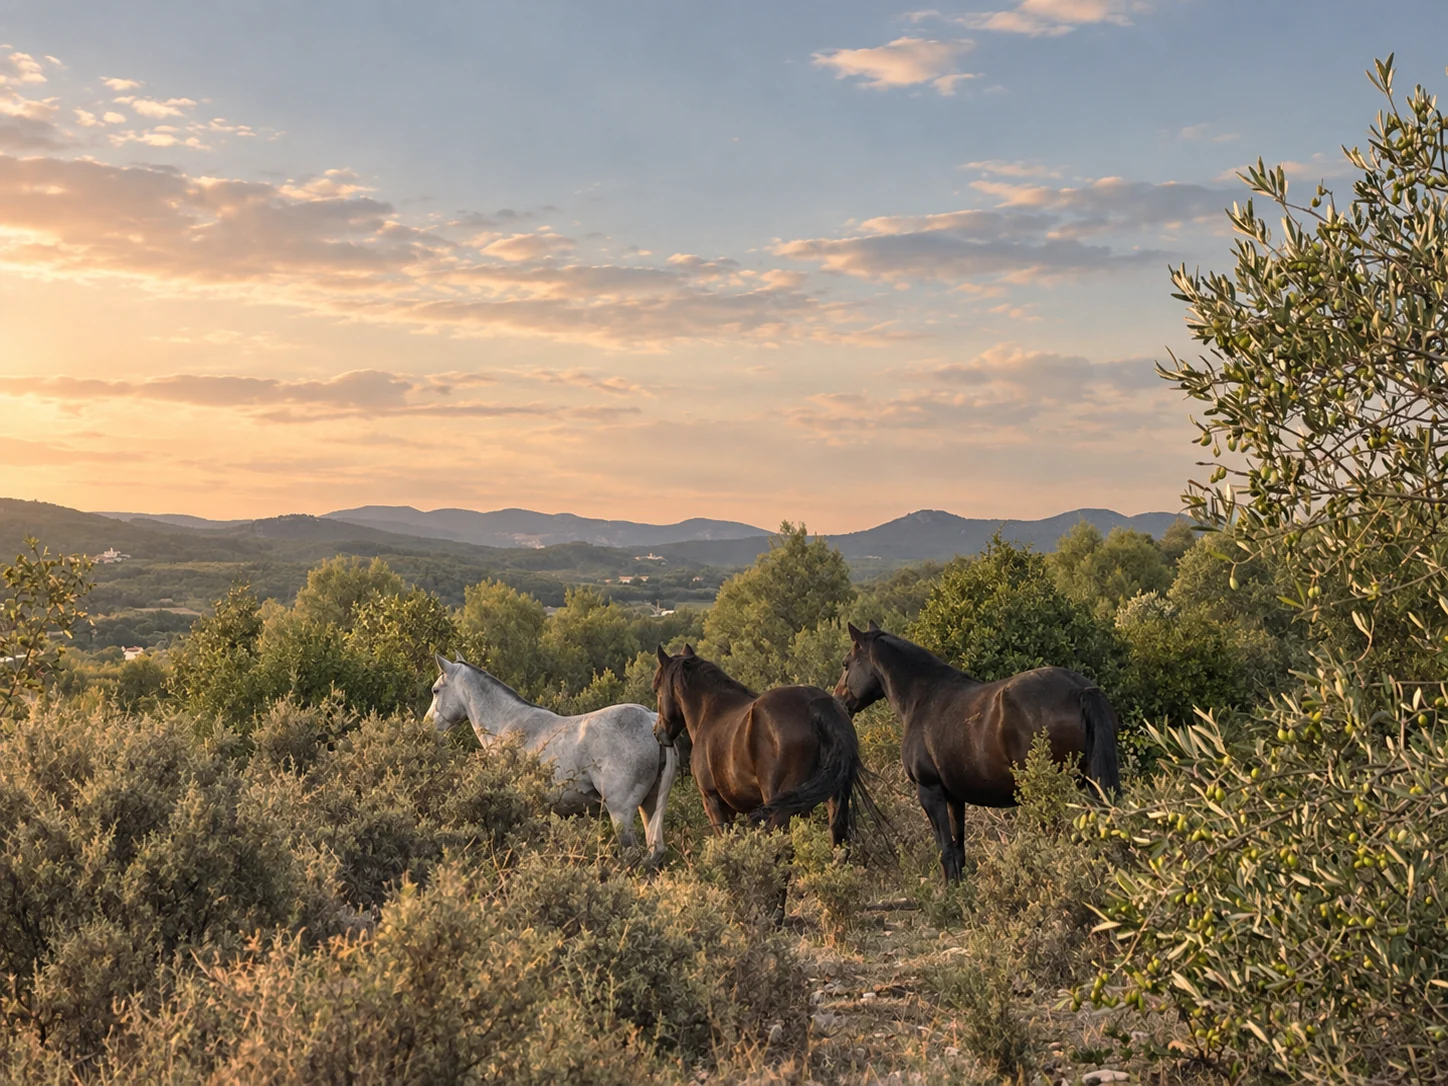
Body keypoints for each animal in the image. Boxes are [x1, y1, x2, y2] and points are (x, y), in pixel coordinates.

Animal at [426, 655, 678, 866]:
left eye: (435, 690)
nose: (427, 726)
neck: (508, 723)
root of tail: (650, 720)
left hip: (621, 811)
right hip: (650, 805)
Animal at [651, 644, 871, 846]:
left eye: (656, 688)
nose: (657, 732)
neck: (710, 711)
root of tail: (815, 704)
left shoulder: (714, 803)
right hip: (833, 798)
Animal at [833, 622, 1120, 883]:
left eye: (846, 663)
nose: (839, 700)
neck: (923, 699)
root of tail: (1079, 689)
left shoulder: (930, 792)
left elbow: (945, 851)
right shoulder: (954, 798)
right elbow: (958, 851)